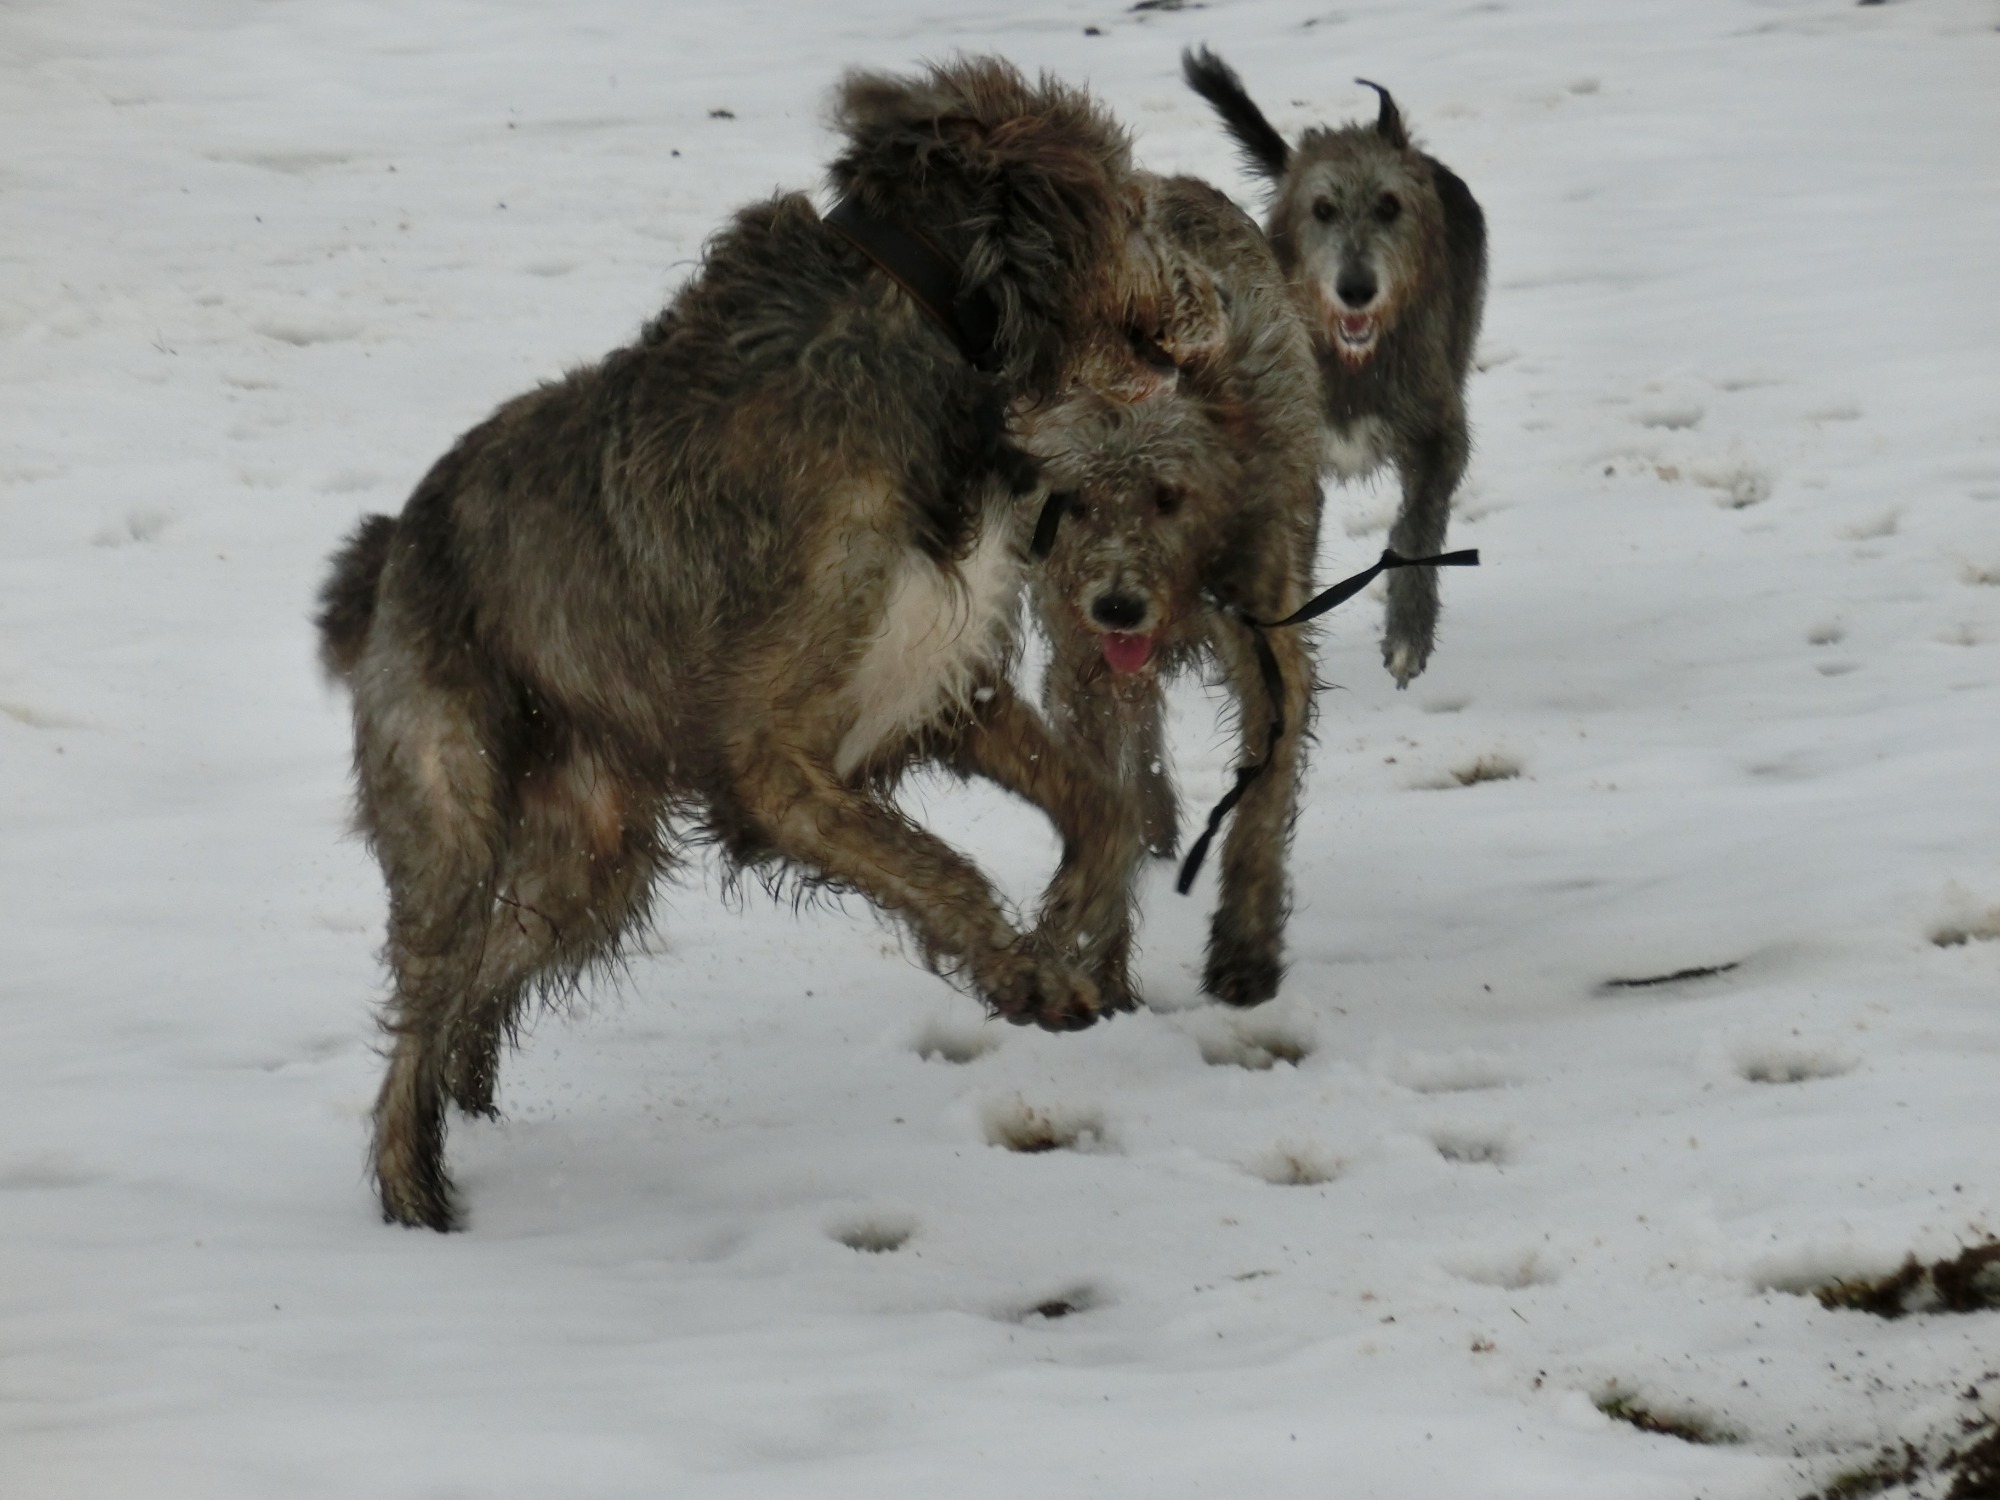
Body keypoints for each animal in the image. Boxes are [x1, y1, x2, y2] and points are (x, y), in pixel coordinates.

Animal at [317, 57, 1181, 1230]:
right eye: (1128, 199)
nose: (1197, 283)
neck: (922, 330)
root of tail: (393, 545)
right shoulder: (774, 760)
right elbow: (938, 866)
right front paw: (1025, 973)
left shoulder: (934, 685)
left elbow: (1099, 802)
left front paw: (1065, 922)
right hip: (448, 796)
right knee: (425, 990)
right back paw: (415, 1193)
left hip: (592, 848)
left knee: (496, 961)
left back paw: (466, 1083)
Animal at [1018, 173, 1323, 1007]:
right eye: (1073, 503)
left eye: (1167, 495)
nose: (1119, 606)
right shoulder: (1081, 658)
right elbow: (1101, 792)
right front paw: (1093, 957)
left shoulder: (1266, 632)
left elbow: (1261, 798)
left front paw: (1246, 947)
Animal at [1184, 47, 1487, 685]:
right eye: (1322, 210)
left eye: (1389, 206)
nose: (1356, 289)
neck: (1351, 364)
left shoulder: (1439, 431)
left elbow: (1418, 526)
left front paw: (1407, 637)